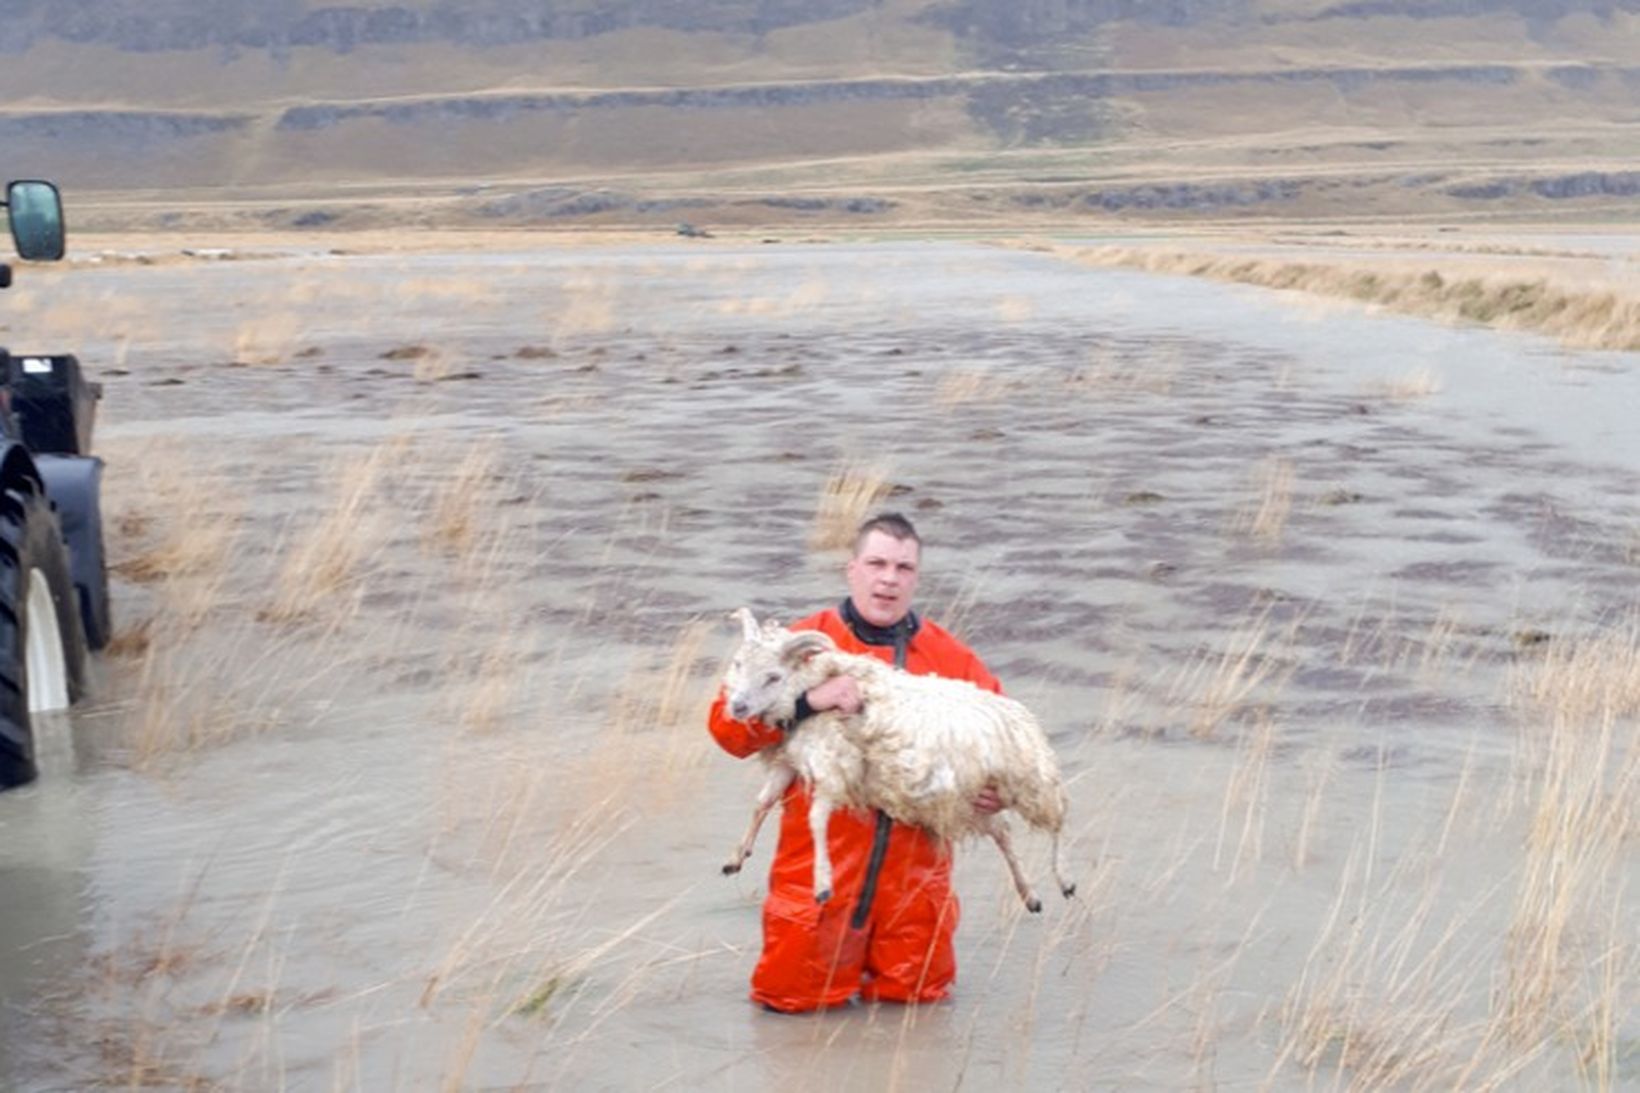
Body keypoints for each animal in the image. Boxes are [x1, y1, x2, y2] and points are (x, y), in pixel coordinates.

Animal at [718, 603, 1075, 912]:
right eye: (737, 664)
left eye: (773, 676)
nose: (737, 707)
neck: (812, 693)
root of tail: (1020, 713)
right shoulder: (791, 760)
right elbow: (762, 803)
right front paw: (737, 856)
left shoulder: (835, 769)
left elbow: (816, 819)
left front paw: (822, 883)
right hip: (973, 799)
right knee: (1004, 833)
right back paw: (1029, 894)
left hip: (1035, 783)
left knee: (1057, 825)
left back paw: (1065, 880)